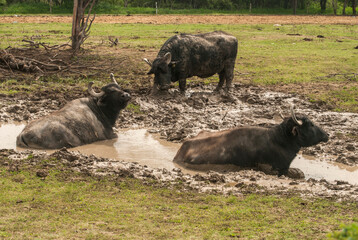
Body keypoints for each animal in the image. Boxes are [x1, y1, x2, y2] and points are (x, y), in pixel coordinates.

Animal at [172, 107, 328, 176]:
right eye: (311, 124)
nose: (327, 134)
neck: (279, 140)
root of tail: (183, 147)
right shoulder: (271, 168)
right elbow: (298, 173)